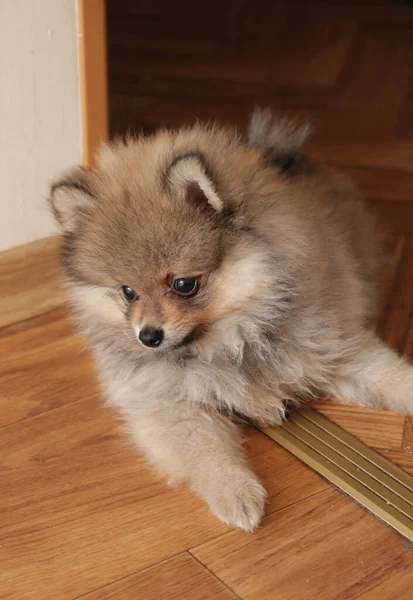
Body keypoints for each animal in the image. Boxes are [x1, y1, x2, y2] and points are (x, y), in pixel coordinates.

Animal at [50, 110, 412, 532]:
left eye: (184, 284)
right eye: (127, 292)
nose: (148, 336)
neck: (233, 338)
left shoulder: (332, 346)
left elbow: (390, 376)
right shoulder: (169, 402)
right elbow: (209, 450)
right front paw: (237, 494)